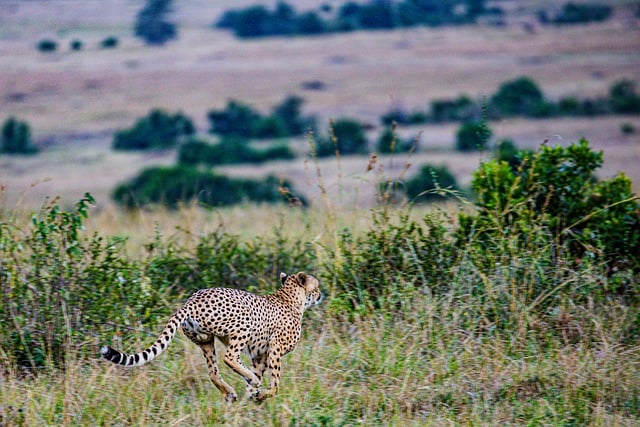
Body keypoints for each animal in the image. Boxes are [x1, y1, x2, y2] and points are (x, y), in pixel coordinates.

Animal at [102, 272, 322, 402]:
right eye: (317, 286)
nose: (321, 294)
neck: (291, 298)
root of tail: (191, 300)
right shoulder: (275, 347)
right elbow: (275, 381)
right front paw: (261, 392)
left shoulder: (259, 355)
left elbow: (258, 376)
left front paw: (252, 396)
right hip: (243, 324)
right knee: (230, 357)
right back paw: (246, 381)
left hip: (205, 340)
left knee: (213, 372)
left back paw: (231, 392)